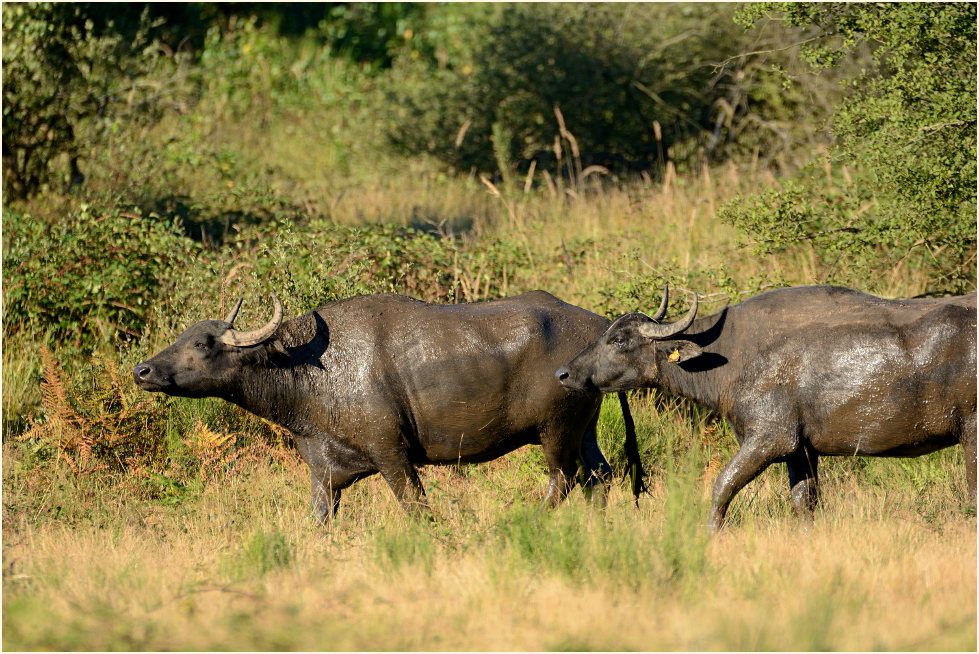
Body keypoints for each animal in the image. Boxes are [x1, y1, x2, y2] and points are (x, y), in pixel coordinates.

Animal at [136, 290, 644, 524]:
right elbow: (320, 521)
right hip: (584, 430)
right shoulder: (324, 471)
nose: (142, 370)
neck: (312, 368)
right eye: (181, 336)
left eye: (203, 344)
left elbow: (416, 507)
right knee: (600, 477)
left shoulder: (392, 455)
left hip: (555, 430)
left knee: (565, 479)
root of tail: (596, 328)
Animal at [560, 284, 979, 532]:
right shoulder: (800, 451)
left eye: (618, 340)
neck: (732, 355)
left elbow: (722, 484)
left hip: (971, 435)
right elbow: (804, 502)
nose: (563, 373)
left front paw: (711, 533)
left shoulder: (770, 439)